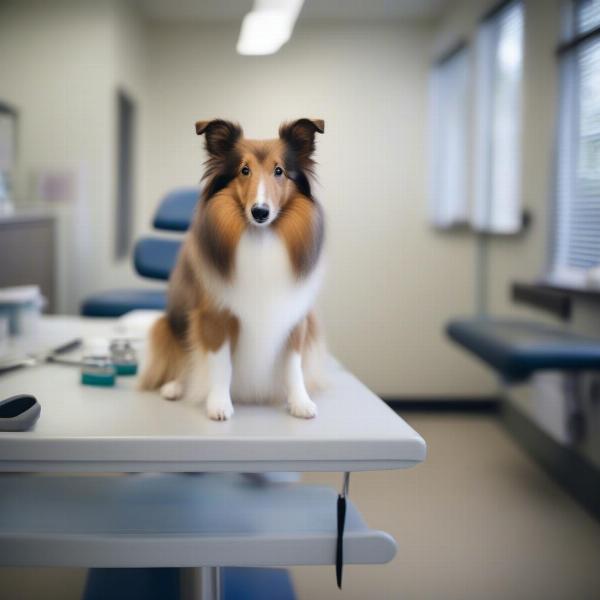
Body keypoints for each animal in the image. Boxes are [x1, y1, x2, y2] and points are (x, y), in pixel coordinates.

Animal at [139, 118, 328, 422]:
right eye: (244, 170)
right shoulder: (214, 316)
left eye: (279, 171)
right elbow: (221, 364)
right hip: (169, 323)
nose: (260, 212)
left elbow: (293, 365)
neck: (260, 238)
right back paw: (175, 386)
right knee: (182, 357)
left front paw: (300, 403)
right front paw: (218, 405)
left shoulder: (295, 317)